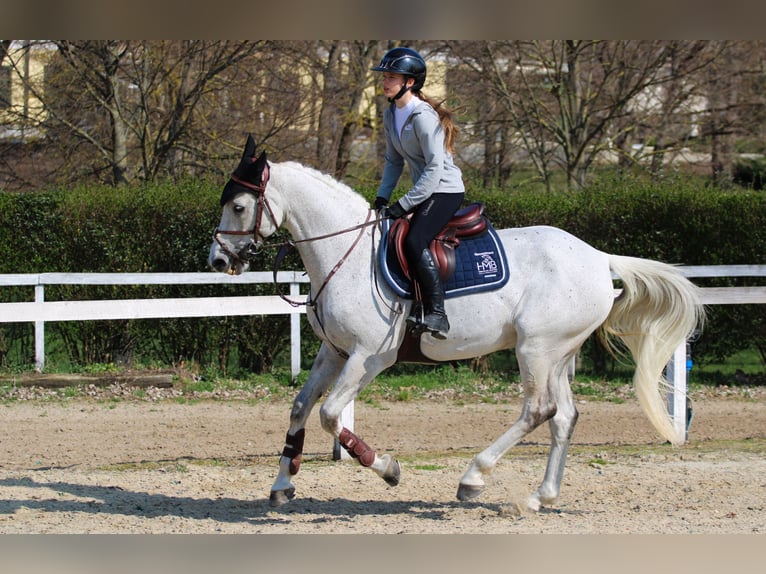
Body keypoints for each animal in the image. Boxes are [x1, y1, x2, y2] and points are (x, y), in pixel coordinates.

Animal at [207, 135, 704, 512]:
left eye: (238, 206)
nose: (217, 260)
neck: (345, 254)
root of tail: (599, 257)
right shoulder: (335, 351)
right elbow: (300, 407)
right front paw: (282, 484)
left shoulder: (369, 357)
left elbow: (330, 415)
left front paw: (387, 469)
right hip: (558, 353)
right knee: (563, 417)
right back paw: (538, 497)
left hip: (535, 349)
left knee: (537, 410)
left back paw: (473, 478)